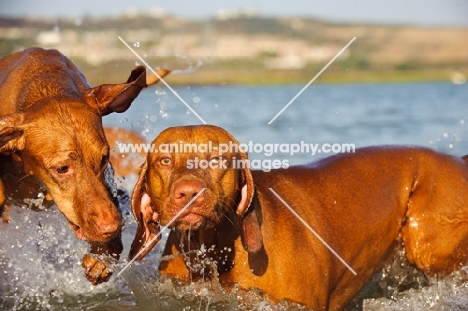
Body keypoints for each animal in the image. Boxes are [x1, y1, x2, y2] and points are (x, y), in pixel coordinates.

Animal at [128, 124, 468, 310]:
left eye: (216, 159)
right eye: (165, 160)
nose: (188, 192)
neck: (214, 249)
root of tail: (460, 159)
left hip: (429, 249)